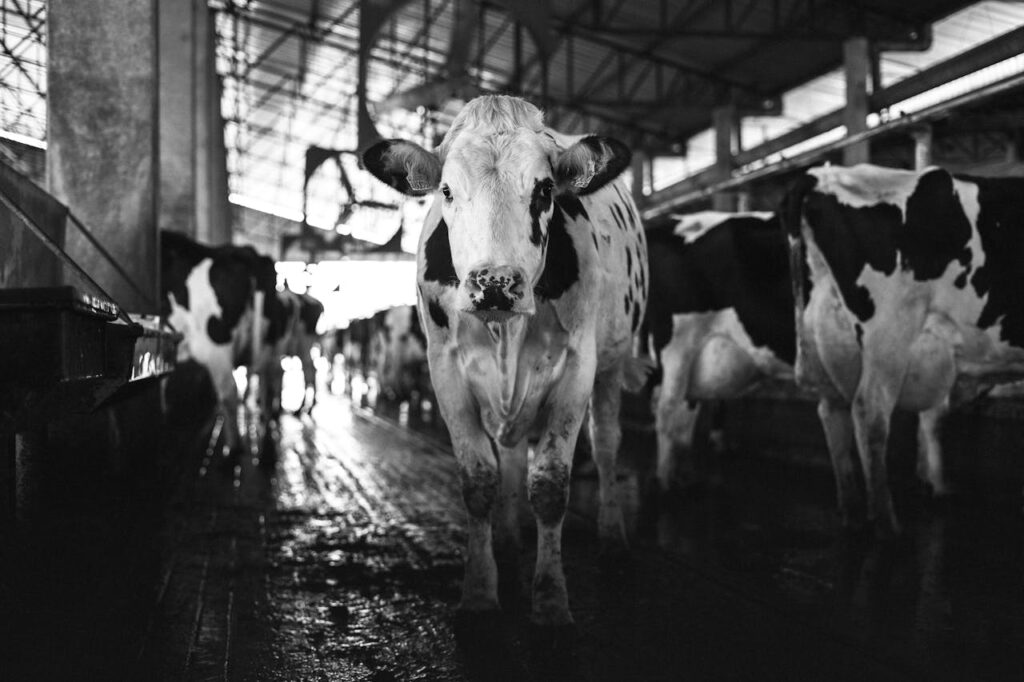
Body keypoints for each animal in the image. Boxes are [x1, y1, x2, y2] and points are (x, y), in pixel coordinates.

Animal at [362, 95, 649, 627]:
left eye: (544, 188)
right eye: (447, 190)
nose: (495, 282)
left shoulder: (578, 365)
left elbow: (551, 486)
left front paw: (551, 600)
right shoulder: (444, 368)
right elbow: (479, 481)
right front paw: (479, 594)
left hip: (612, 364)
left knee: (606, 445)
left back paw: (613, 538)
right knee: (512, 453)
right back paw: (511, 544)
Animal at [782, 163, 1024, 536]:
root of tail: (819, 175)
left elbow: (933, 417)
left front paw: (933, 483)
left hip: (822, 344)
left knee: (832, 413)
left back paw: (852, 513)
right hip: (889, 334)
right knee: (870, 412)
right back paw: (886, 524)